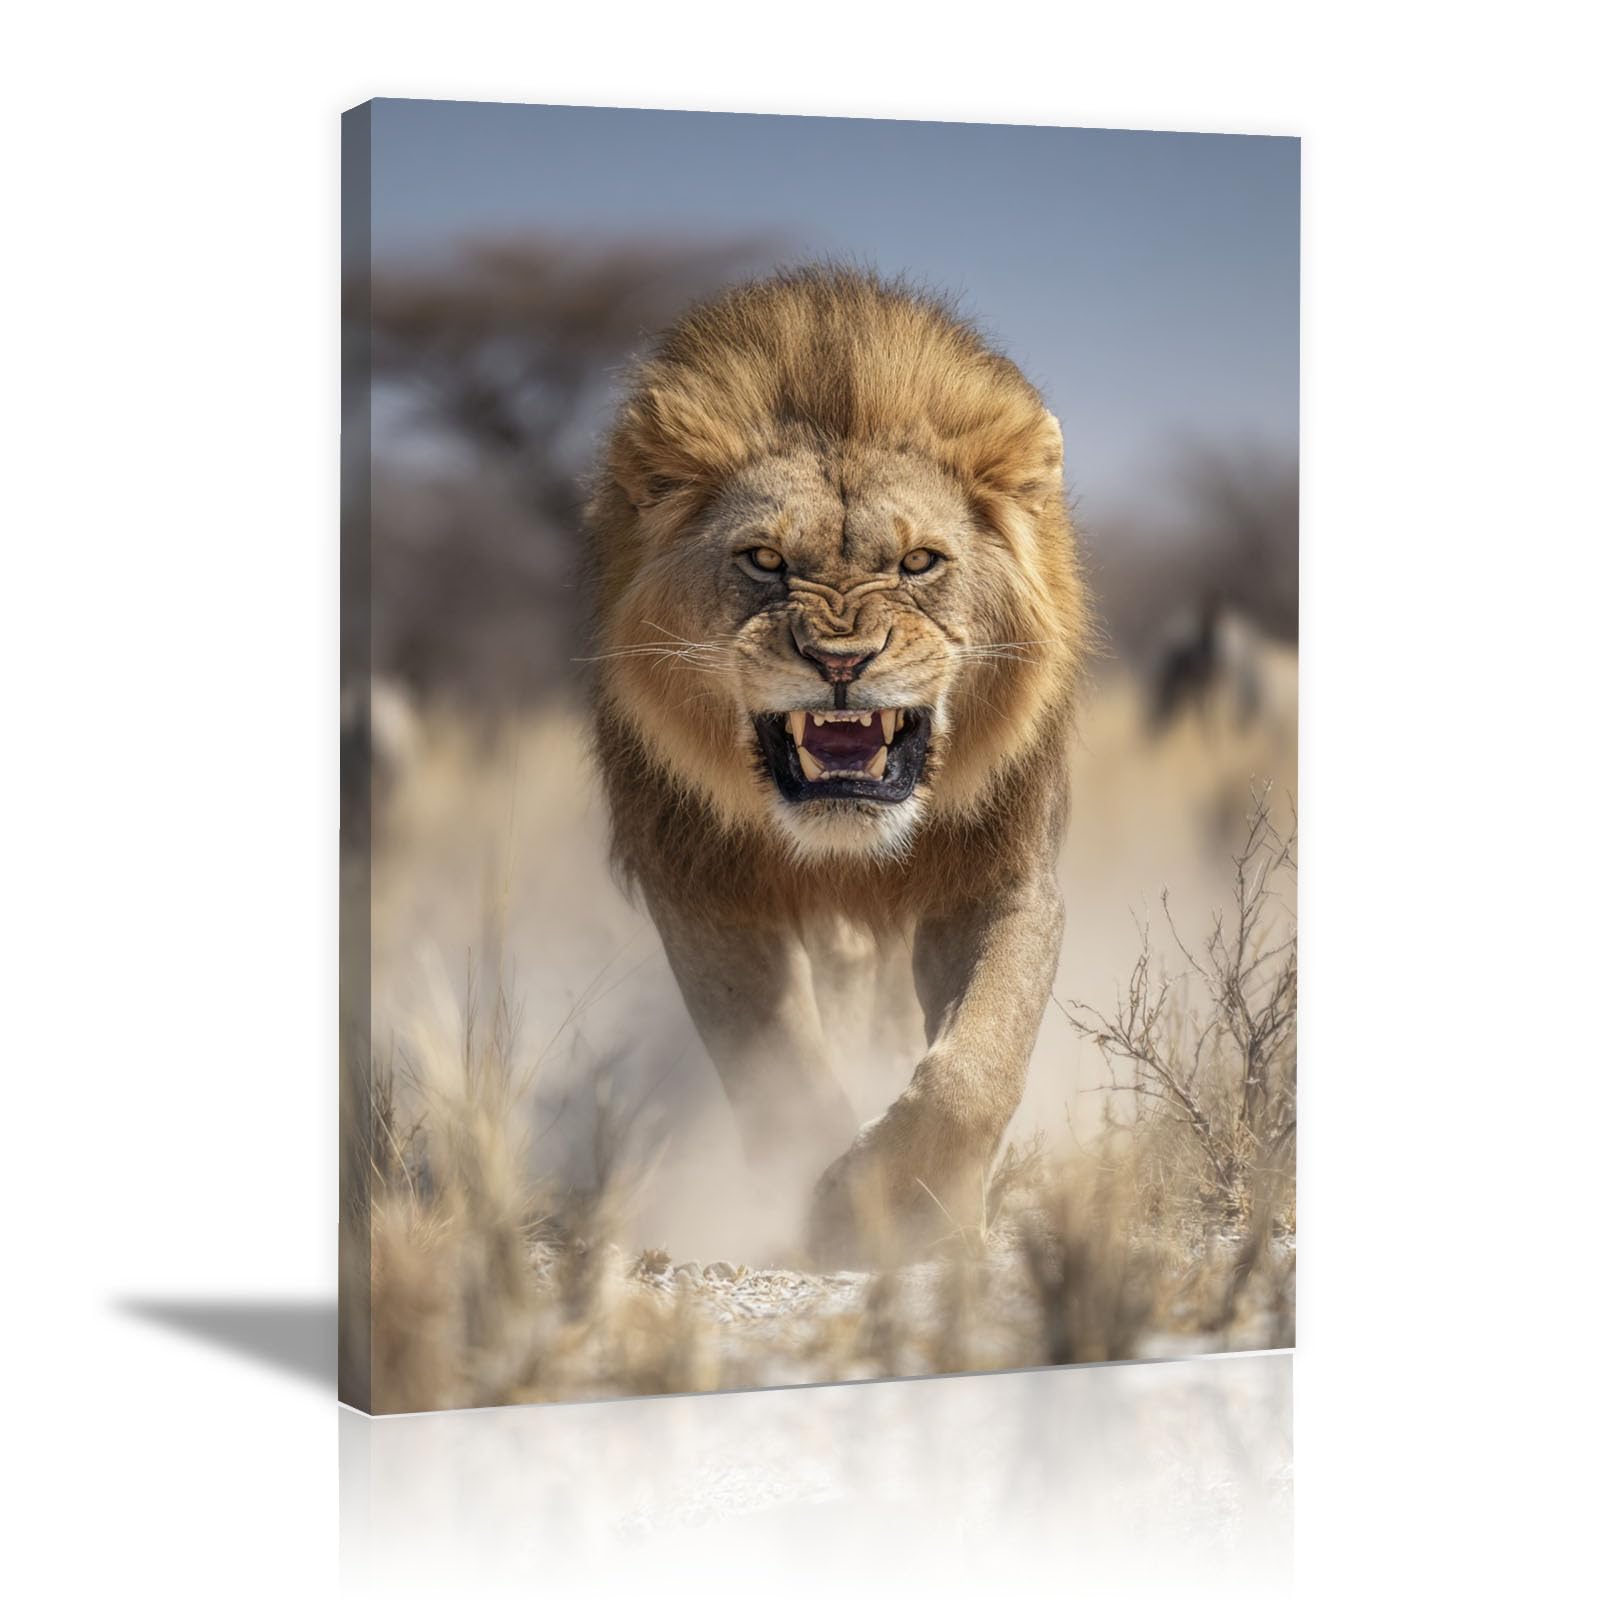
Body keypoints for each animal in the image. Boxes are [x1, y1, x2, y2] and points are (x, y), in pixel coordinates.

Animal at [584, 267, 1089, 1263]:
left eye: (920, 561)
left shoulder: (1005, 873)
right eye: (764, 559)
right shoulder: (701, 887)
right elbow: (776, 1068)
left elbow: (974, 1069)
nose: (841, 662)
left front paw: (901, 1212)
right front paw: (822, 1198)